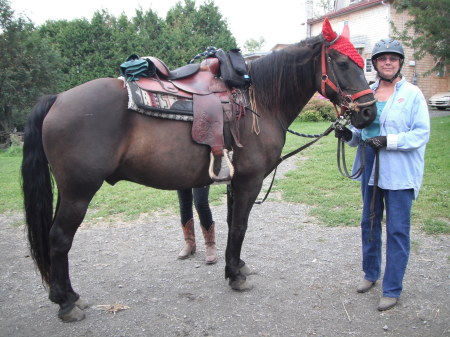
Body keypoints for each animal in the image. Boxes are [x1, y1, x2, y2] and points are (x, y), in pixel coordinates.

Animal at [22, 19, 376, 322]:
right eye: (342, 63)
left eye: (362, 62)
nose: (369, 113)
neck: (258, 102)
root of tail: (57, 99)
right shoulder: (248, 182)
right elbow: (240, 226)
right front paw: (235, 276)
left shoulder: (235, 181)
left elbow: (232, 224)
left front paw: (237, 266)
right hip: (78, 192)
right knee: (59, 239)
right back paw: (66, 303)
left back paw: (69, 297)